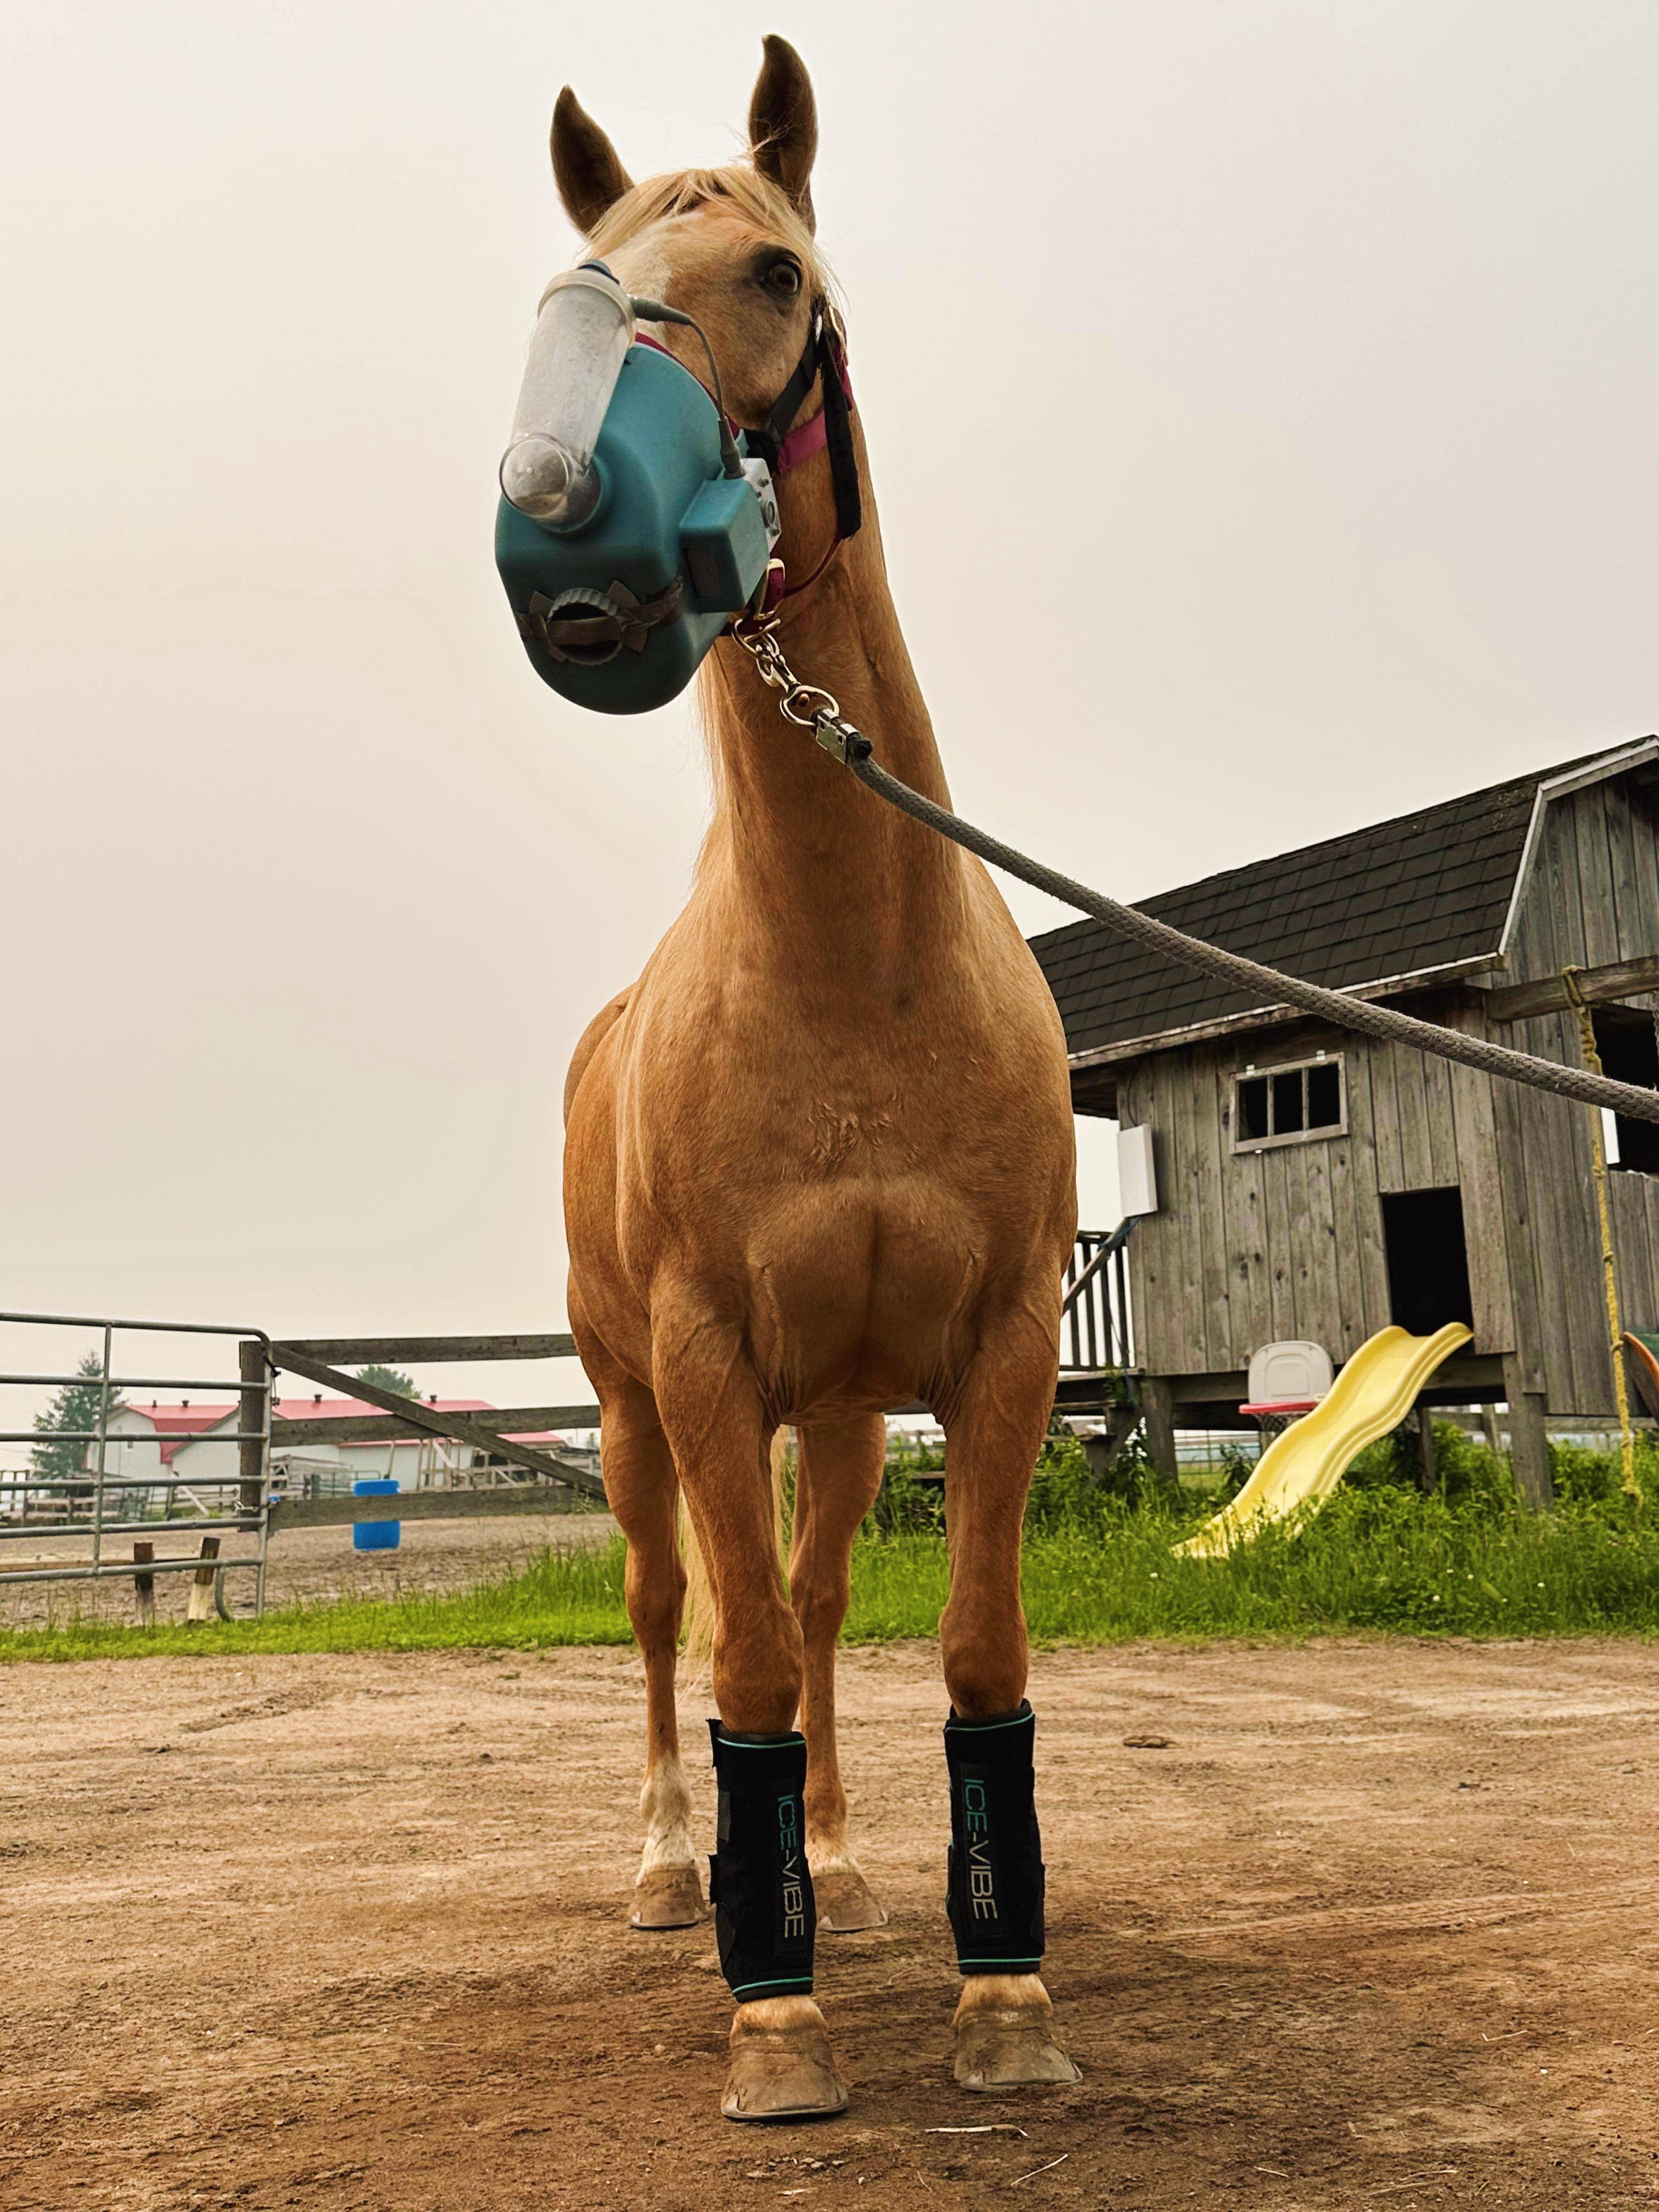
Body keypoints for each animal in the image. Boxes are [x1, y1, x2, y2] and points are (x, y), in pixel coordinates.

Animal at [554, 36, 1080, 2119]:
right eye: (581, 282)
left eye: (773, 270)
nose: (586, 529)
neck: (854, 967)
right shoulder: (705, 1363)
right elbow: (746, 1667)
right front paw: (767, 2015)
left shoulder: (995, 1349)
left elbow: (968, 1648)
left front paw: (1000, 1994)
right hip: (634, 1414)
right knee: (667, 1616)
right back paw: (659, 1869)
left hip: (846, 1413)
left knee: (824, 1588)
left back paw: (847, 1870)